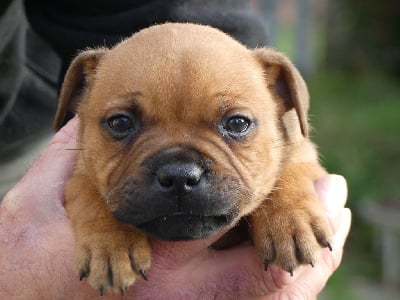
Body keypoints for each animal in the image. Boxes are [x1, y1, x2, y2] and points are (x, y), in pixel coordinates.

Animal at [54, 23, 332, 296]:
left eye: (237, 123)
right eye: (120, 123)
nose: (179, 176)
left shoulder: (305, 154)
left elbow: (291, 173)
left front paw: (291, 223)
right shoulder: (77, 175)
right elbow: (89, 192)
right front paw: (110, 245)